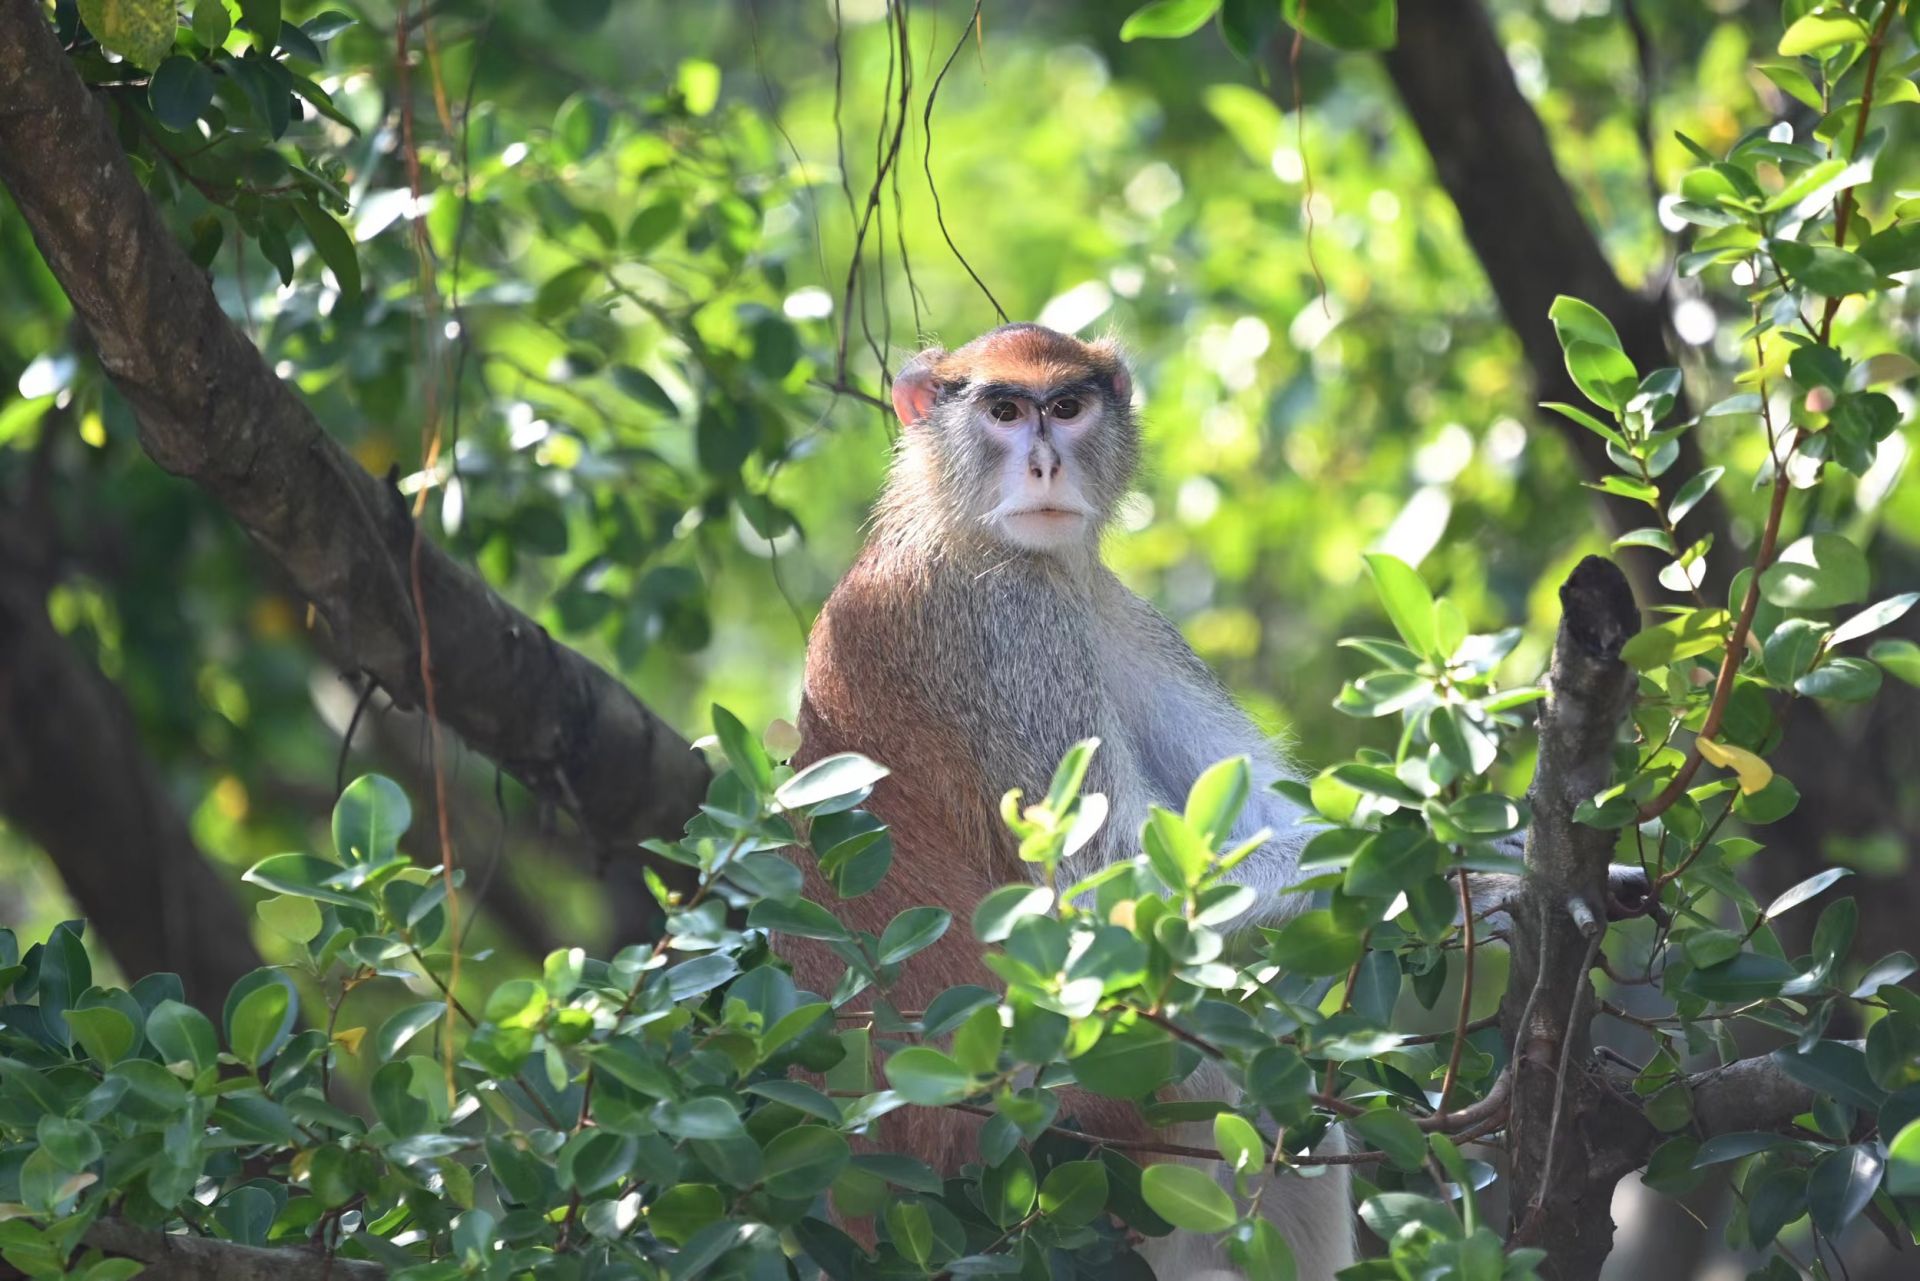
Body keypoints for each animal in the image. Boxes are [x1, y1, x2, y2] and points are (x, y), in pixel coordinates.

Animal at [787, 326, 1359, 1275]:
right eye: (1003, 410)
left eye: (1066, 406)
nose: (1045, 464)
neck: (948, 520)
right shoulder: (1009, 624)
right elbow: (1112, 881)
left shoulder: (1101, 605)